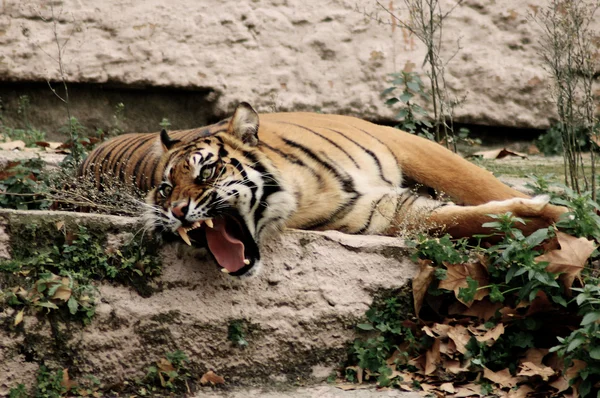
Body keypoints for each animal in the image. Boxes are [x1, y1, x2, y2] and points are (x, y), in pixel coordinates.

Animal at [83, 102, 568, 276]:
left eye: (205, 172)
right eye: (164, 189)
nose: (178, 212)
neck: (302, 190)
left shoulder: (402, 141)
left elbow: (475, 181)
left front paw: (569, 212)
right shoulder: (385, 212)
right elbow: (463, 220)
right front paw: (550, 217)